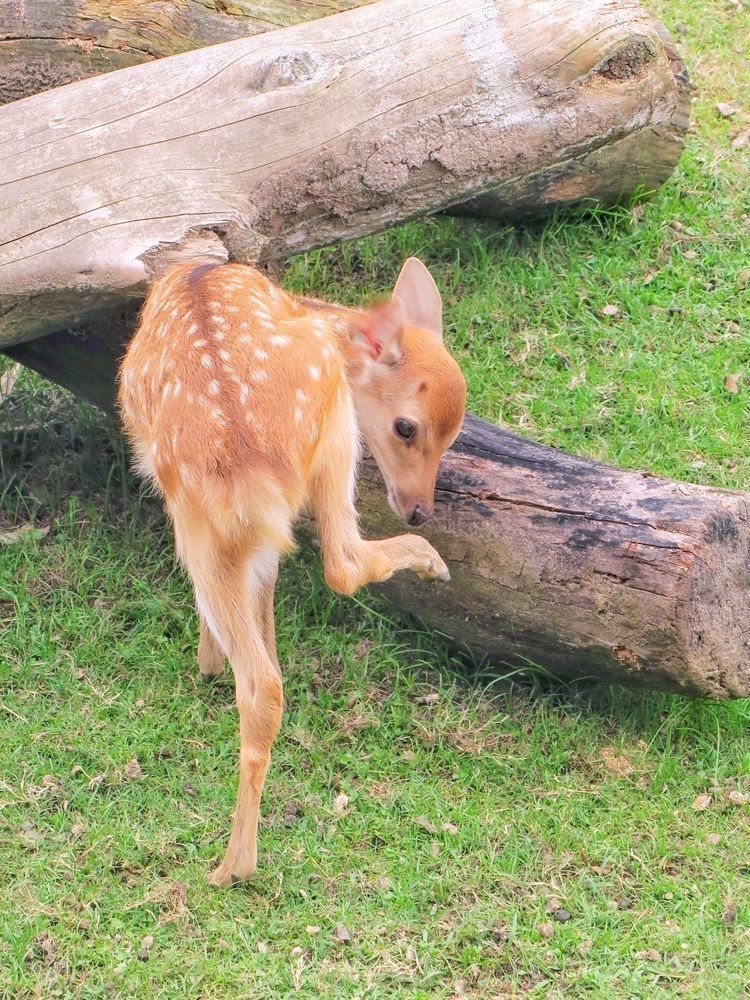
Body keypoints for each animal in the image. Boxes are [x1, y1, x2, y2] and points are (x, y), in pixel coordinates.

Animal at [118, 257, 466, 886]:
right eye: (408, 427)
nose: (420, 507)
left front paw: (208, 656)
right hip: (314, 447)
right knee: (296, 627)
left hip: (213, 508)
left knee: (301, 619)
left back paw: (231, 865)